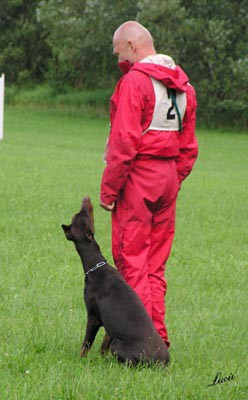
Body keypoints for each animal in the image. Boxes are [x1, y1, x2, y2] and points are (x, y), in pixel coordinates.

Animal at [63, 197, 170, 366]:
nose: (86, 198)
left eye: (83, 213)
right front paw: (101, 358)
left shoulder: (93, 317)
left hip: (118, 346)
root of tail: (161, 362)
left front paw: (80, 360)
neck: (96, 266)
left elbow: (85, 344)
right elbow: (103, 344)